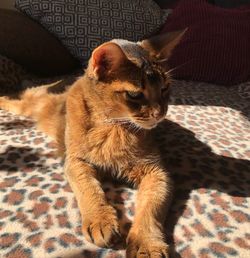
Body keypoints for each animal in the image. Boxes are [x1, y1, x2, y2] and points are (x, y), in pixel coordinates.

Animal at [0, 30, 186, 258]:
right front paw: (100, 220)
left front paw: (147, 243)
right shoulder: (74, 161)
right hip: (29, 105)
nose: (160, 114)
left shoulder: (157, 172)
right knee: (14, 99)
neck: (114, 125)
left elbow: (151, 209)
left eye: (165, 88)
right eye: (134, 94)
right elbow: (89, 188)